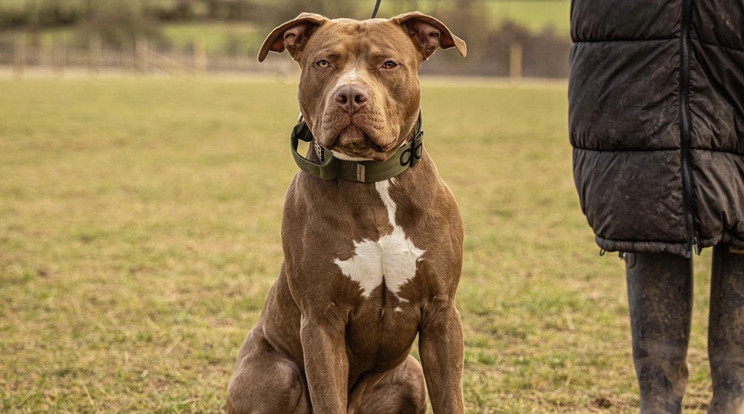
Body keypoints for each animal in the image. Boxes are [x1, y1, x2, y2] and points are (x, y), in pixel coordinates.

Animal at [227, 11, 468, 412]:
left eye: (389, 64)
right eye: (324, 63)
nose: (350, 95)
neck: (369, 181)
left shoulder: (441, 315)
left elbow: (450, 399)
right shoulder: (322, 321)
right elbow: (328, 396)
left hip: (411, 375)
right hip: (277, 371)